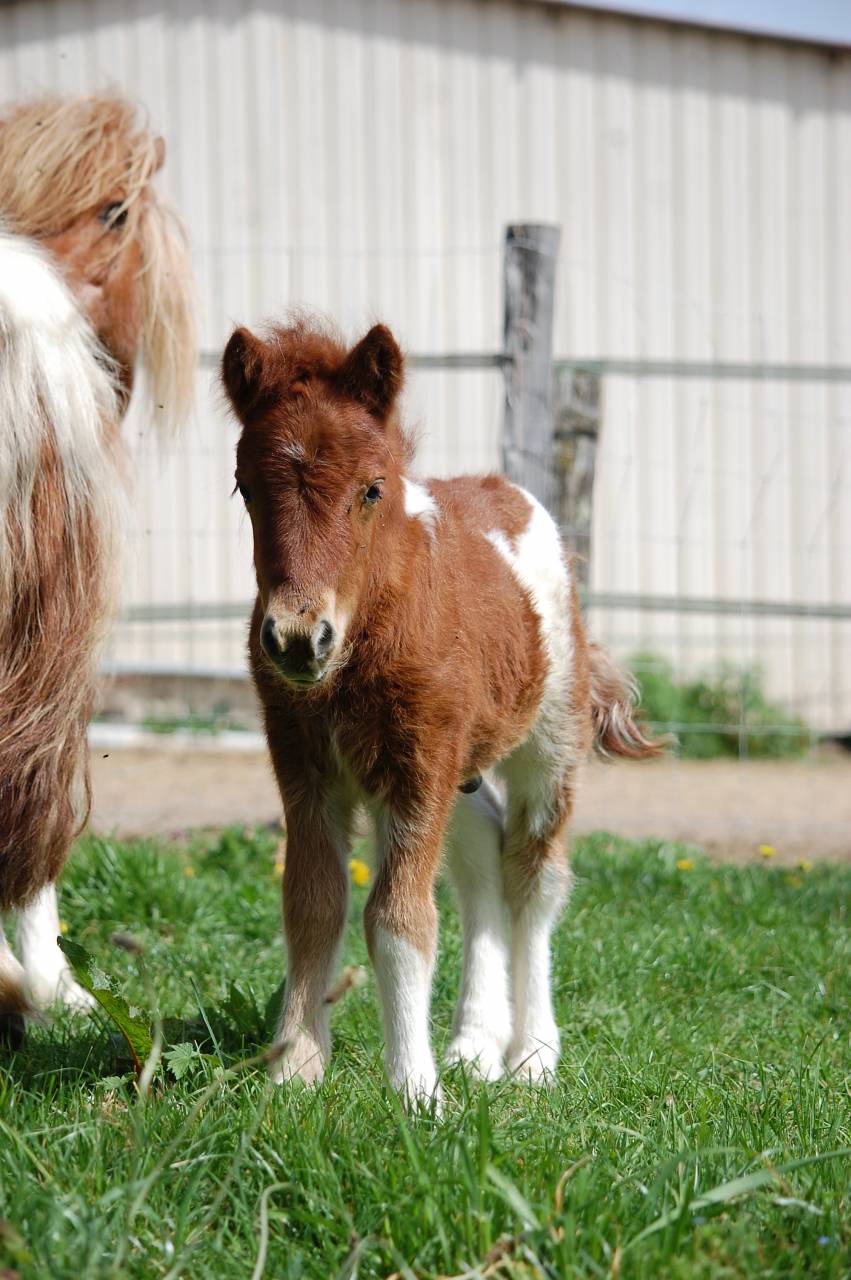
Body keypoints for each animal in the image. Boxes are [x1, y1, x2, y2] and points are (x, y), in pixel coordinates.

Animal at [222, 317, 660, 1105]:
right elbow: (312, 903)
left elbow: (399, 918)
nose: (297, 639)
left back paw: (530, 1055)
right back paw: (472, 1046)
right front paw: (294, 1069)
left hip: (547, 741)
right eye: (244, 487)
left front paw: (415, 1092)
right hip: (454, 767)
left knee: (534, 874)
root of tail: (505, 490)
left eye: (371, 489)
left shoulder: (419, 759)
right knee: (481, 855)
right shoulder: (304, 762)